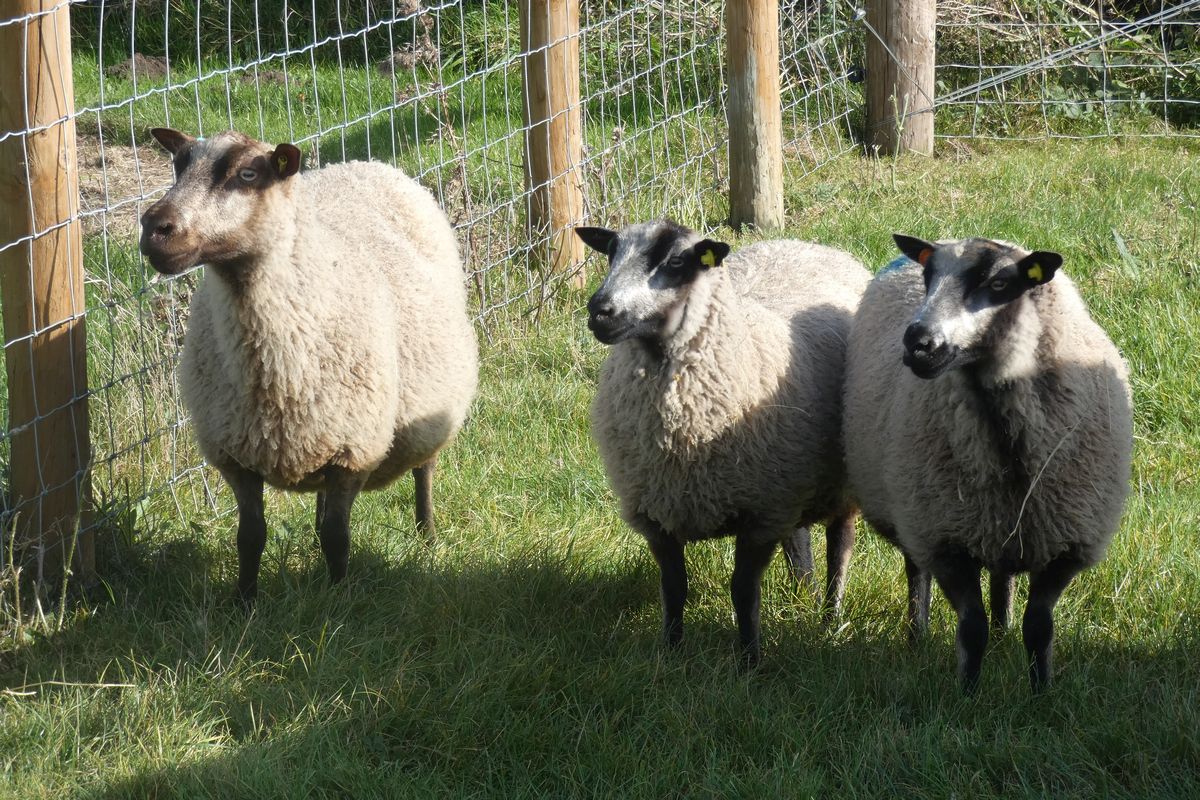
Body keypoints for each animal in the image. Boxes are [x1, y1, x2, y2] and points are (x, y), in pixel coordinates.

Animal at [139, 128, 479, 602]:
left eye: (248, 174)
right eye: (178, 165)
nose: (154, 228)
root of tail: (365, 164)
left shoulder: (354, 451)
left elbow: (338, 537)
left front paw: (338, 599)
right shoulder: (236, 457)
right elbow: (250, 536)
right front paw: (245, 601)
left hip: (429, 400)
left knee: (424, 469)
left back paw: (426, 535)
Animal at [576, 219, 871, 665]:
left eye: (676, 262)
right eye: (611, 252)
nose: (600, 311)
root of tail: (806, 244)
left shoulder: (760, 514)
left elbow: (743, 593)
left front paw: (749, 661)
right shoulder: (658, 514)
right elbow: (674, 588)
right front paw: (671, 654)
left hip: (838, 481)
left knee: (841, 545)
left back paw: (829, 619)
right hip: (791, 475)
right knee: (799, 537)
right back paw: (803, 594)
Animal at [843, 234, 1132, 691]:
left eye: (999, 283)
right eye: (929, 276)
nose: (918, 343)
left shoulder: (1064, 546)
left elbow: (1039, 628)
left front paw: (1040, 693)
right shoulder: (946, 540)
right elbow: (970, 629)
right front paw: (968, 695)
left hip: (1005, 526)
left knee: (1003, 575)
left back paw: (1003, 631)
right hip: (915, 507)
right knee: (917, 573)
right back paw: (918, 638)